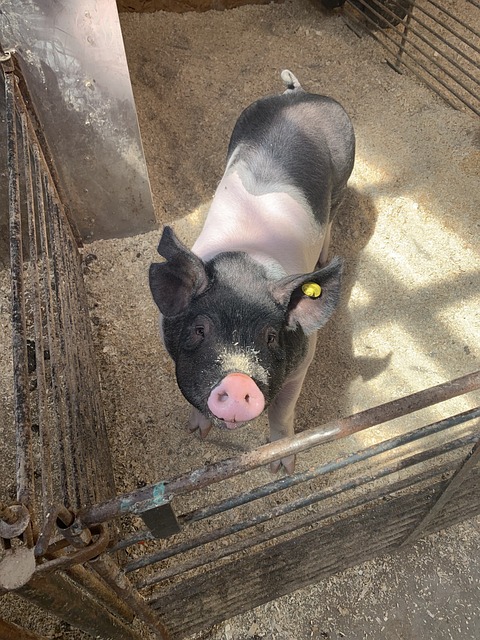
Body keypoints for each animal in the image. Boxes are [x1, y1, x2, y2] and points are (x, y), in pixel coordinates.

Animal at [150, 70, 356, 472]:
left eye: (271, 337)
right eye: (200, 329)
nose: (238, 381)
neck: (245, 264)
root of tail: (299, 94)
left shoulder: (304, 357)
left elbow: (283, 410)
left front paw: (282, 467)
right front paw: (196, 433)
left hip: (345, 166)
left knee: (333, 214)